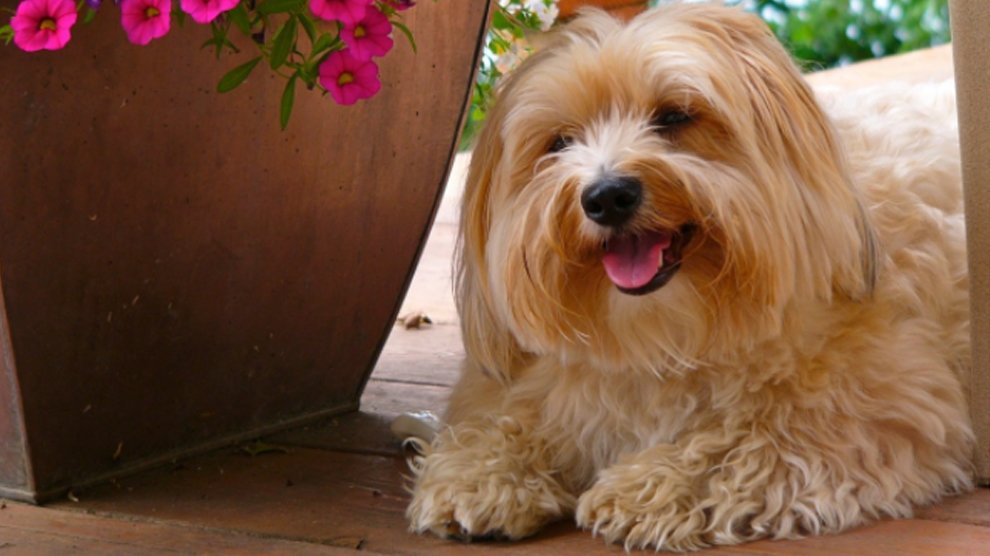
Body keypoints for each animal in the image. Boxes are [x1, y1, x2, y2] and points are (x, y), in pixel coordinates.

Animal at [404, 4, 976, 552]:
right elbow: (504, 418)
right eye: (560, 142)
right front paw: (480, 473)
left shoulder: (874, 406)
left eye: (674, 116)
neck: (665, 335)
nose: (607, 195)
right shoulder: (524, 382)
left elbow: (749, 438)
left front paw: (648, 487)